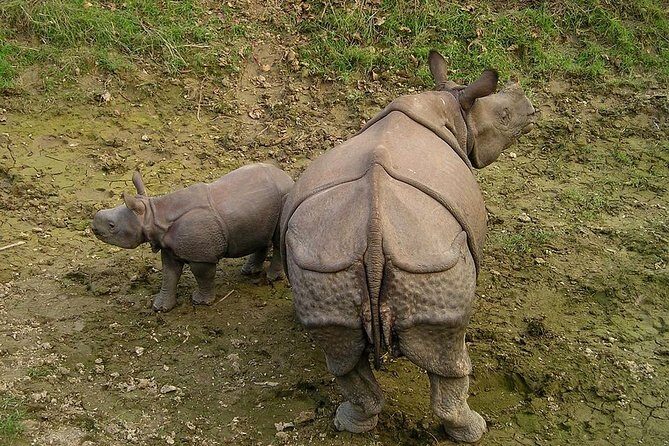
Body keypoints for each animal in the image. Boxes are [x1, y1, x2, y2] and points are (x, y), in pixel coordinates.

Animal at [93, 163, 294, 312]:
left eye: (112, 226)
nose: (93, 226)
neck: (153, 215)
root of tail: (287, 177)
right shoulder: (169, 248)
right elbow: (169, 275)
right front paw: (160, 307)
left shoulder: (201, 256)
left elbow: (202, 275)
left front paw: (201, 302)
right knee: (261, 234)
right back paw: (248, 271)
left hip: (285, 196)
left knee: (278, 239)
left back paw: (272, 278)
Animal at [281, 51, 536, 442]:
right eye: (504, 117)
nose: (531, 107)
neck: (452, 106)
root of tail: (372, 236)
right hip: (431, 260)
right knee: (450, 358)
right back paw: (474, 430)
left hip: (326, 264)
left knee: (342, 356)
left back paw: (349, 422)